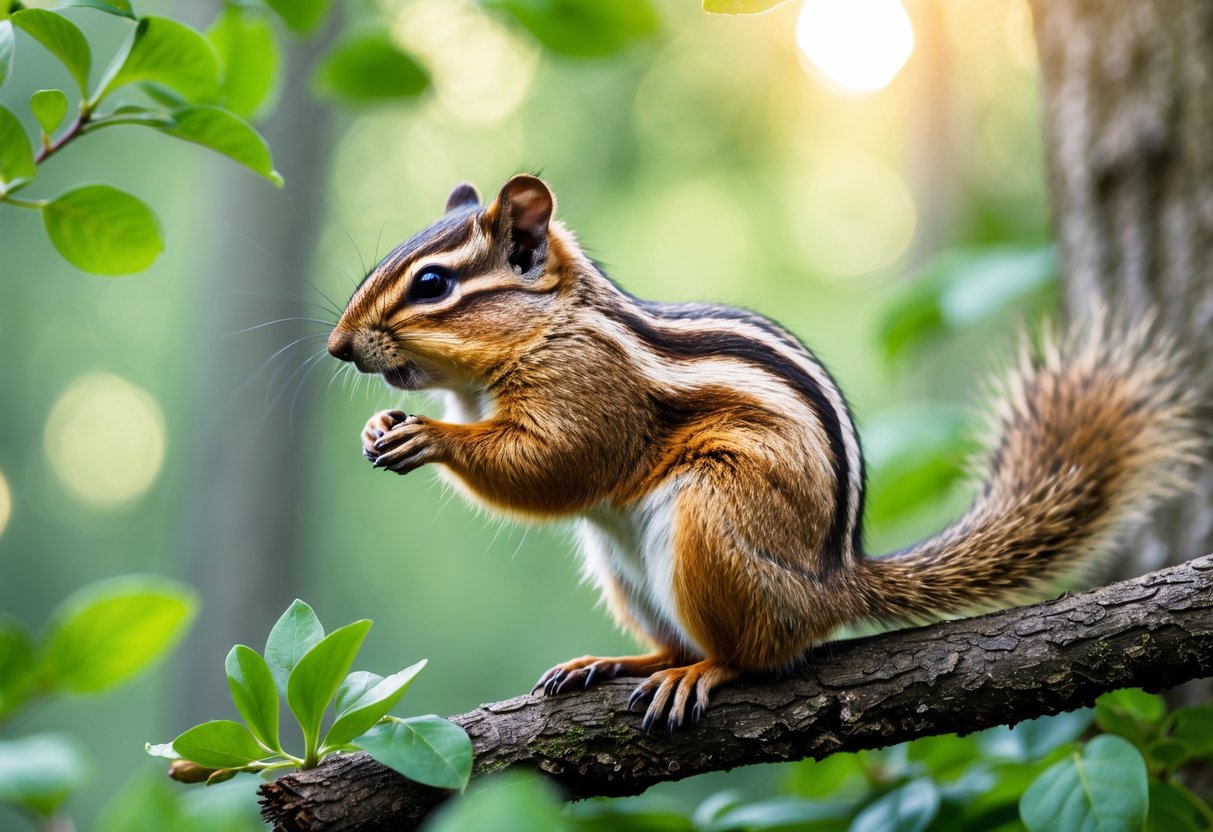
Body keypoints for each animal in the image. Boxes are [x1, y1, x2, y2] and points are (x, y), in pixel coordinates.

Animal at [327, 175, 1199, 733]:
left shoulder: (590, 393)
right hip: (621, 568)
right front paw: (377, 430)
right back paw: (617, 664)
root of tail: (832, 585)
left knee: (752, 655)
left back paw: (700, 673)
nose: (337, 346)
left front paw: (428, 437)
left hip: (709, 523)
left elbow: (556, 465)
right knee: (672, 639)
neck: (550, 327)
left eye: (433, 285)